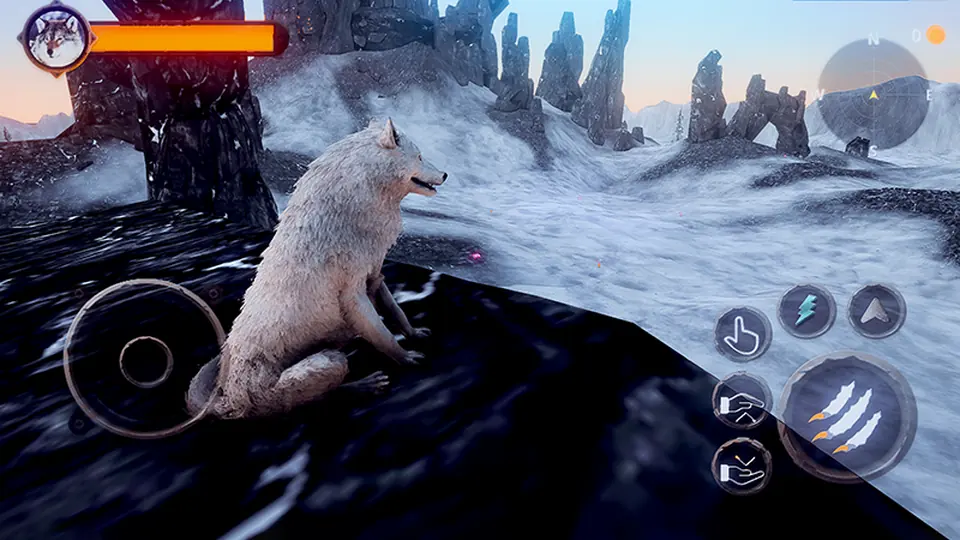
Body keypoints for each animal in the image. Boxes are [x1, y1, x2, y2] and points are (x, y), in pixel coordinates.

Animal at [186, 118, 448, 419]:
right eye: (419, 157)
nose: (445, 174)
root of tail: (230, 396)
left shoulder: (373, 274)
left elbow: (396, 311)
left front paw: (414, 334)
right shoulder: (353, 296)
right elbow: (382, 336)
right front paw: (406, 358)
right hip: (329, 362)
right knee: (317, 399)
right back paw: (364, 385)